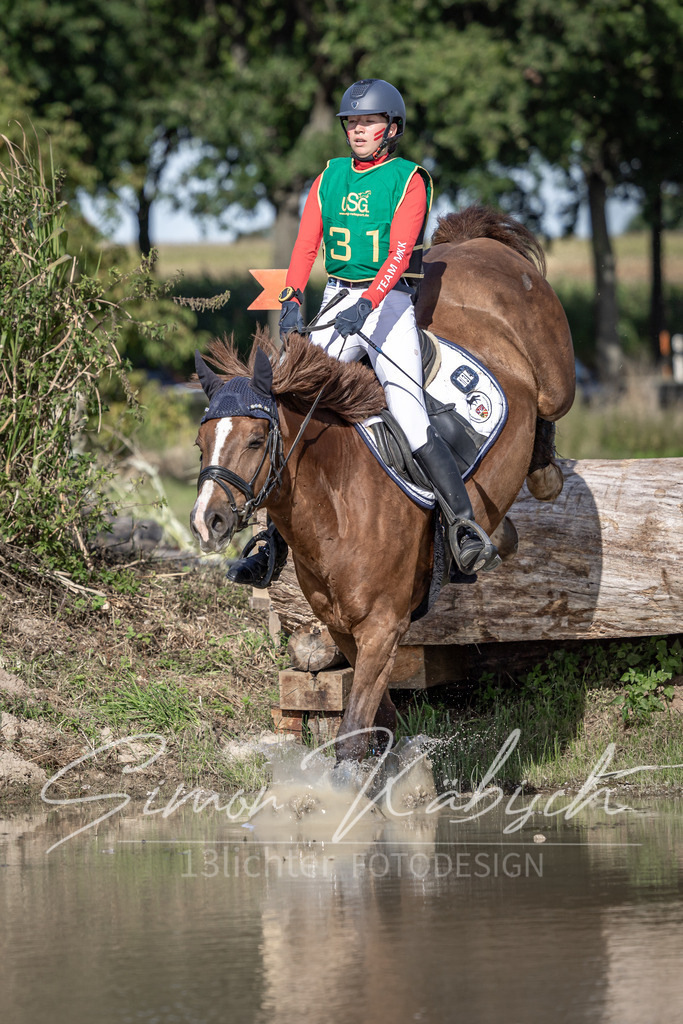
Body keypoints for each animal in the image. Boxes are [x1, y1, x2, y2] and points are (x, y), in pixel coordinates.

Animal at [190, 206, 575, 762]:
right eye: (201, 443)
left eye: (258, 440)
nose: (208, 520)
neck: (336, 506)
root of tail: (470, 242)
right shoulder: (342, 630)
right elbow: (379, 721)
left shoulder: (382, 627)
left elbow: (352, 736)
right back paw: (496, 533)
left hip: (555, 379)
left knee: (549, 416)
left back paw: (537, 481)